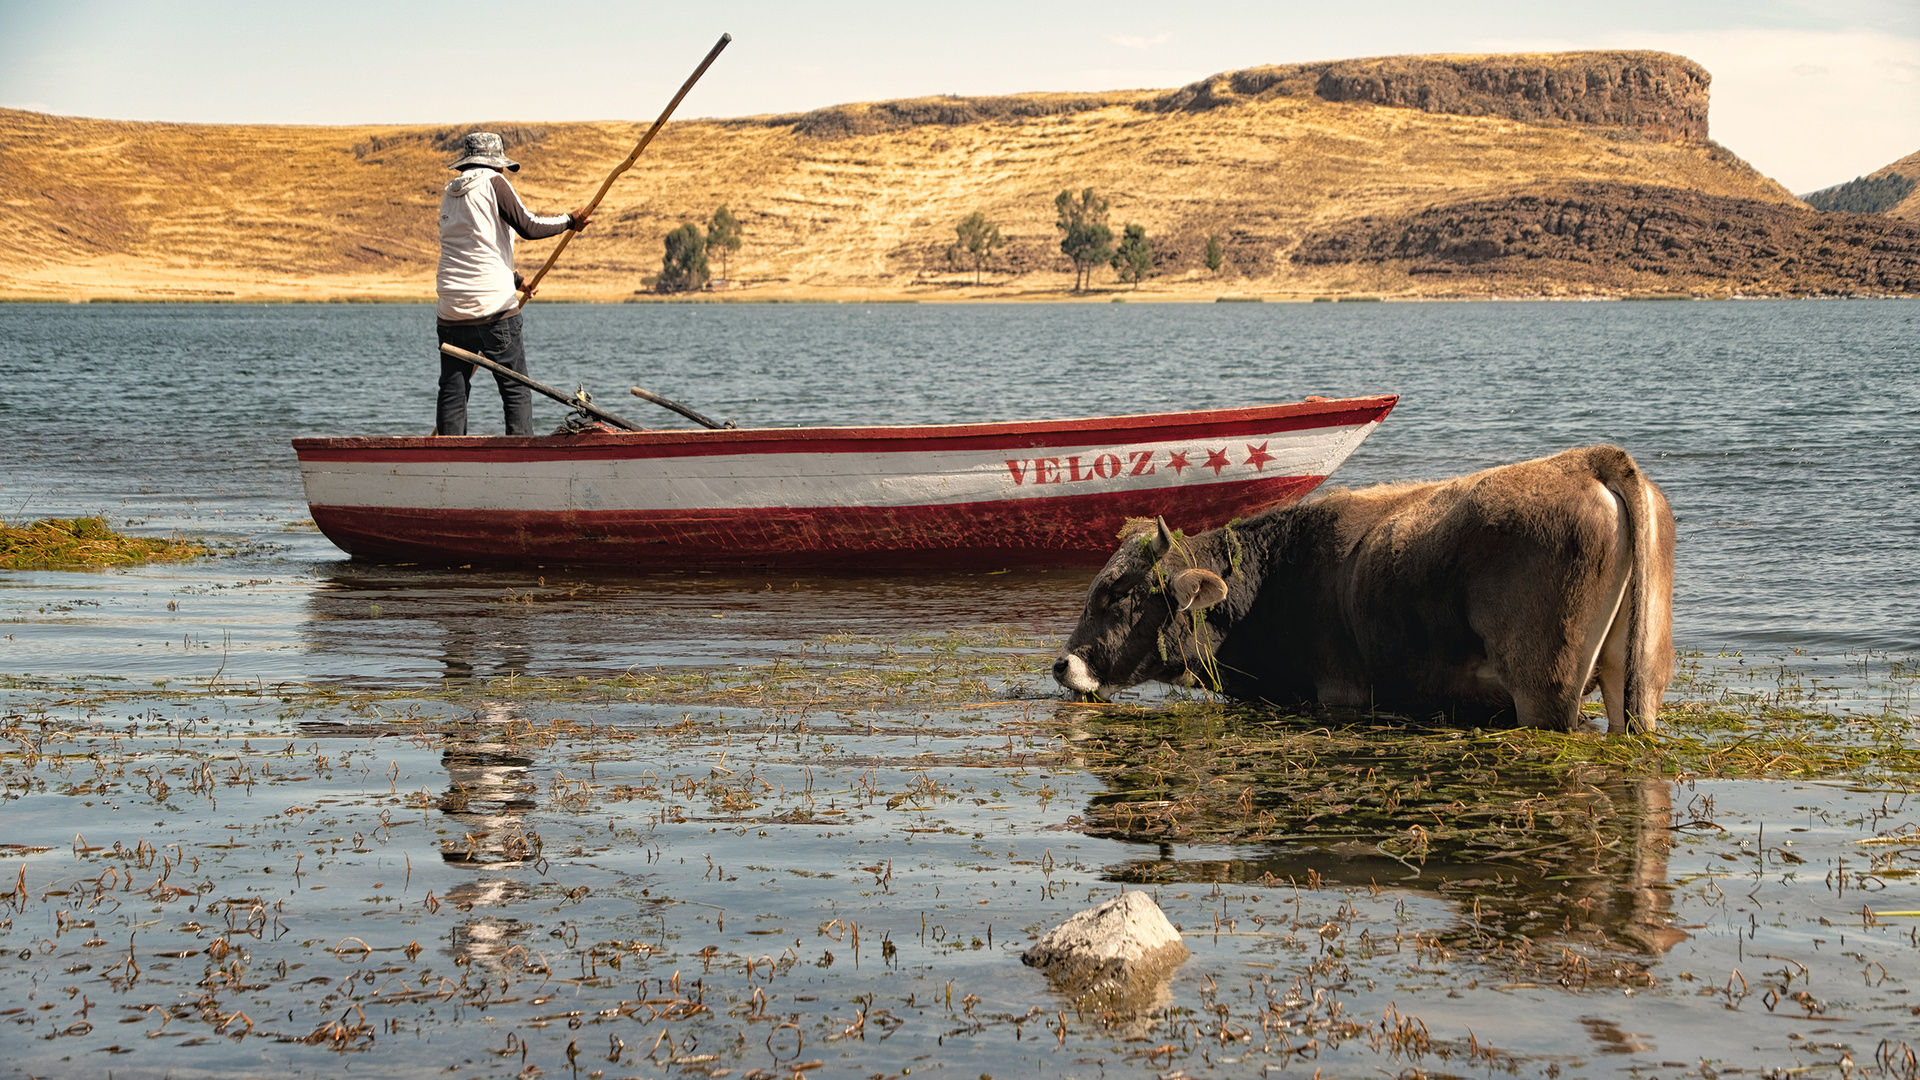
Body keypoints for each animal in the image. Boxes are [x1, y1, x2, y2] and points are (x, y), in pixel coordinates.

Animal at [1059, 441, 1674, 726]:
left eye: (1117, 594)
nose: (1062, 665)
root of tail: (1587, 460)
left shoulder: (1340, 695)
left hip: (1544, 688)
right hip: (1638, 680)